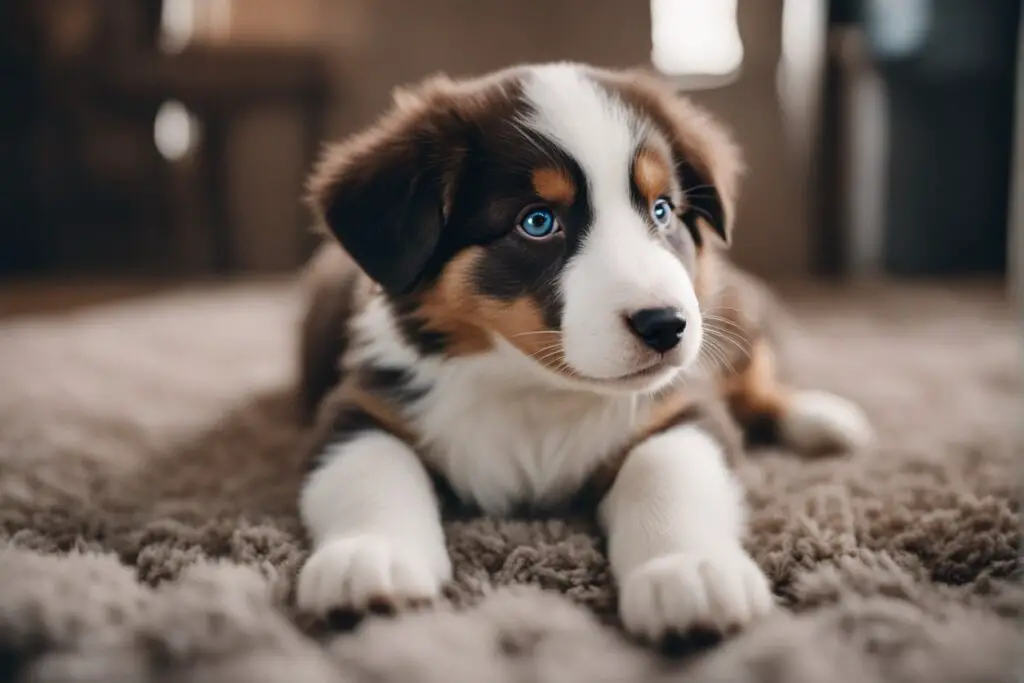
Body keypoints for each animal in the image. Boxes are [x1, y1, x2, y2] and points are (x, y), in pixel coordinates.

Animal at [290, 61, 872, 643]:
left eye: (662, 210)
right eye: (537, 221)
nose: (667, 326)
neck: (535, 390)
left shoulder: (683, 404)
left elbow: (665, 470)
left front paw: (688, 571)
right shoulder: (363, 400)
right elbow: (369, 469)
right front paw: (369, 559)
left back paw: (822, 419)